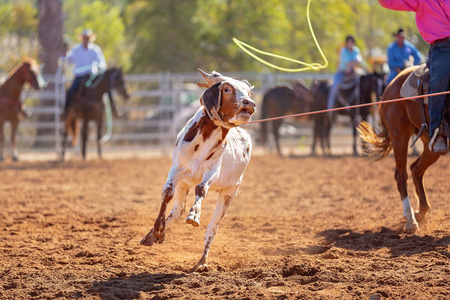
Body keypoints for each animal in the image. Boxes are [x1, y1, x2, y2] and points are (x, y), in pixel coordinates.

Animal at [142, 69, 258, 270]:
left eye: (248, 92)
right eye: (227, 89)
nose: (249, 103)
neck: (203, 139)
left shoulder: (212, 171)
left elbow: (201, 189)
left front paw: (194, 215)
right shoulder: (178, 169)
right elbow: (167, 192)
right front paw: (157, 230)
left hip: (229, 193)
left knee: (212, 226)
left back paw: (202, 262)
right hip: (184, 185)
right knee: (177, 210)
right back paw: (153, 234)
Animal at [358, 66, 442, 234]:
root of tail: (390, 86)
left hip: (430, 143)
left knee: (415, 169)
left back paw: (420, 213)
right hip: (399, 138)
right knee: (401, 176)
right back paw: (411, 220)